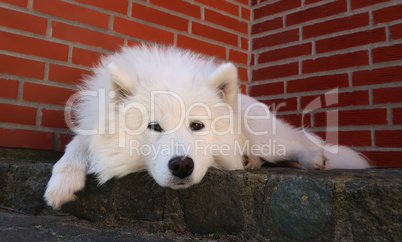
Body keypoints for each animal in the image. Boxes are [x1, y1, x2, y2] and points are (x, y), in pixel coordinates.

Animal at [44, 44, 370, 209]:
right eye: (154, 127)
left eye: (197, 125)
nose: (181, 166)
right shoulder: (92, 127)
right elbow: (76, 146)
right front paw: (62, 183)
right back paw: (251, 162)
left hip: (266, 139)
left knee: (297, 142)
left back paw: (313, 158)